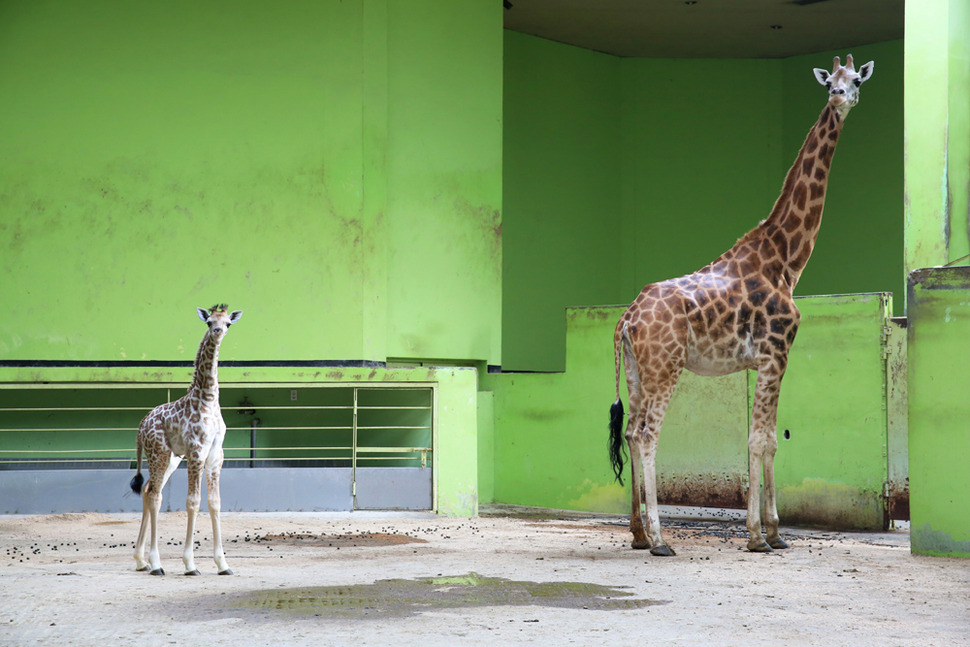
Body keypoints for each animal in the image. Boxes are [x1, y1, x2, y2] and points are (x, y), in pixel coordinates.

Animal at [130, 306, 242, 576]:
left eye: (228, 323)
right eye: (210, 321)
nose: (218, 331)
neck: (208, 399)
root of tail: (141, 426)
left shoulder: (216, 456)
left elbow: (214, 503)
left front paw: (223, 564)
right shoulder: (197, 452)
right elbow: (193, 502)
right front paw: (190, 564)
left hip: (170, 459)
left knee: (148, 490)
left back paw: (141, 561)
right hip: (158, 453)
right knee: (156, 495)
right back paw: (156, 564)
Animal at [608, 55, 872, 556]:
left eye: (855, 80)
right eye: (830, 81)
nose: (839, 98)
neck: (786, 258)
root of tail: (627, 319)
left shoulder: (766, 361)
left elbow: (767, 439)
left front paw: (772, 533)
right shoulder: (775, 353)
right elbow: (761, 440)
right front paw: (759, 536)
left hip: (636, 369)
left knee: (631, 430)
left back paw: (636, 532)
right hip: (666, 367)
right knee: (648, 432)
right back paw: (660, 539)